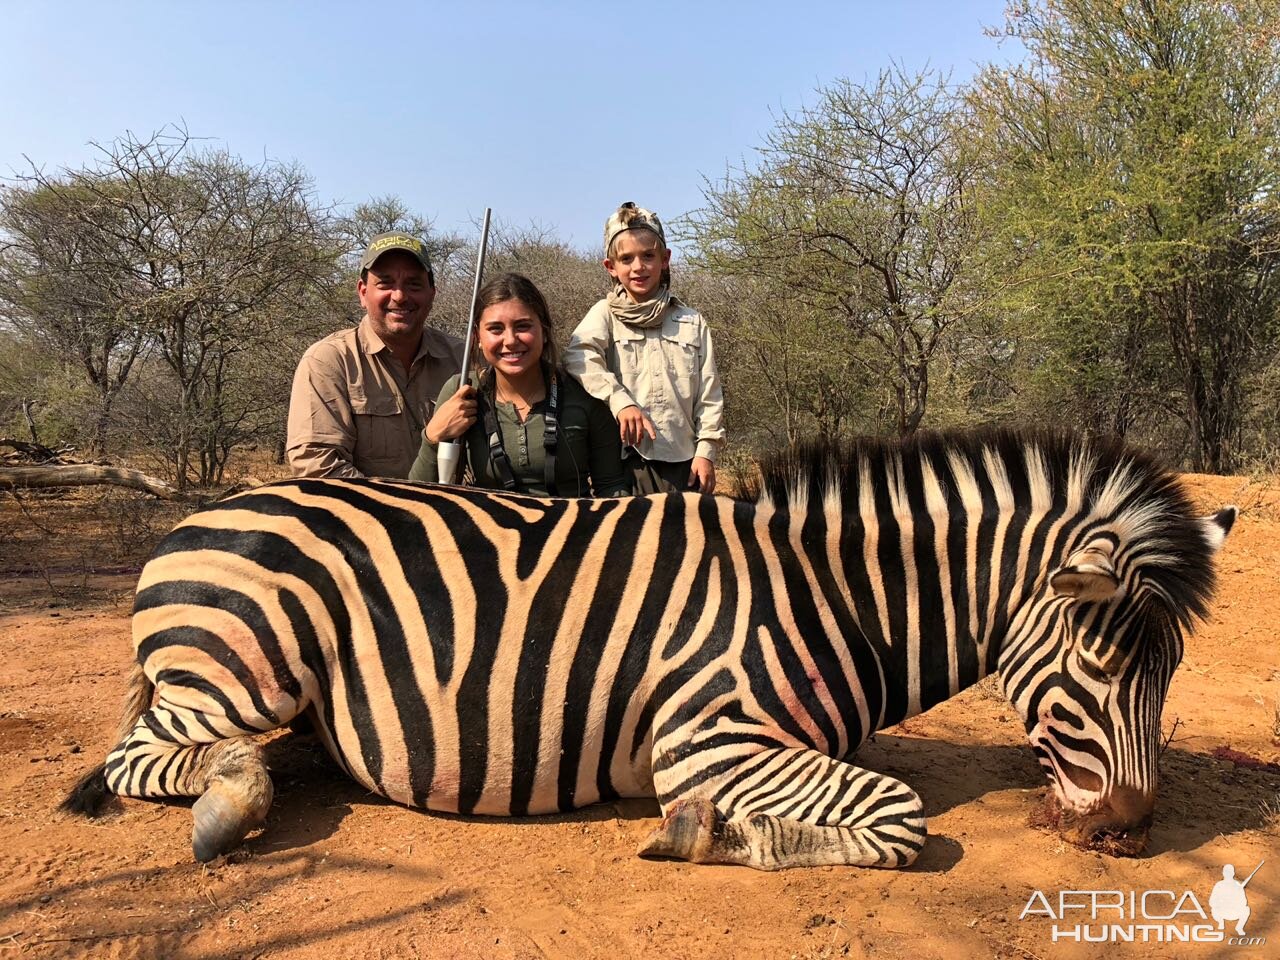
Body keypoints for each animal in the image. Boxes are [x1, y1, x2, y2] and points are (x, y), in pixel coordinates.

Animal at [62, 427, 1228, 870]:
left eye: (1169, 673)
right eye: (1100, 668)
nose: (1130, 835)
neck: (829, 593)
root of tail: (202, 514)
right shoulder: (706, 736)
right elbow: (897, 818)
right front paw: (716, 834)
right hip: (247, 661)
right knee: (150, 757)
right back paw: (231, 803)